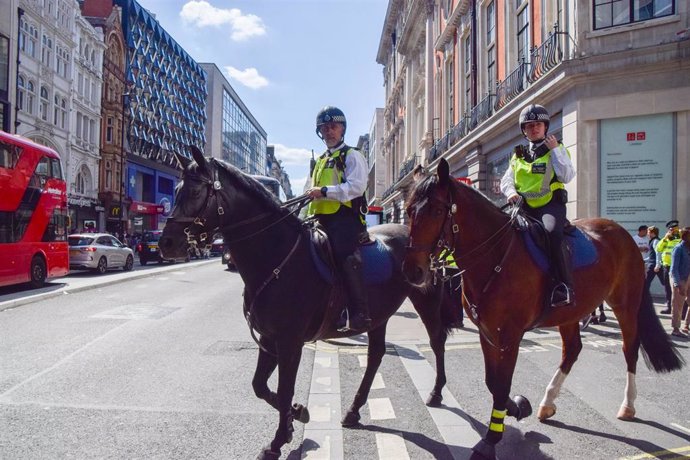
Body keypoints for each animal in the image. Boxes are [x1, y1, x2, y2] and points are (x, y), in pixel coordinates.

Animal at [157, 148, 456, 460]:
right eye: (175, 190)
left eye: (194, 191)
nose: (166, 243)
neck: (276, 257)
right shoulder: (269, 337)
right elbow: (260, 386)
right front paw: (296, 416)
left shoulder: (290, 342)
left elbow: (284, 389)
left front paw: (277, 441)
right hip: (379, 315)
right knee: (375, 355)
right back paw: (353, 410)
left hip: (426, 298)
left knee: (436, 341)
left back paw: (436, 393)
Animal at [400, 159, 680, 460]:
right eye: (409, 210)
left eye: (438, 210)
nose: (412, 270)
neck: (496, 256)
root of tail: (620, 230)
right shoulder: (487, 331)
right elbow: (491, 381)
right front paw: (517, 407)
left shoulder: (510, 335)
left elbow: (501, 384)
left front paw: (491, 439)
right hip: (571, 312)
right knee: (572, 350)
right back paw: (548, 402)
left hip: (625, 304)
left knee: (630, 349)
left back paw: (627, 405)